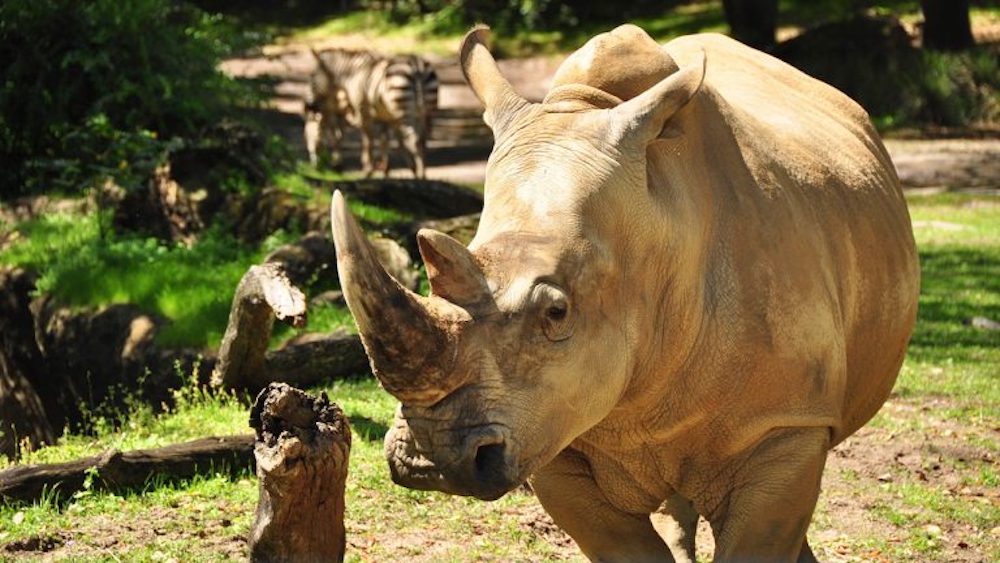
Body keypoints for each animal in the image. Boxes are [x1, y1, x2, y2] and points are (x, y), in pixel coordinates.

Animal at [308, 50, 438, 180]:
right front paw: (387, 170)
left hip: (405, 110)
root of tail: (417, 66)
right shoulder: (387, 117)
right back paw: (422, 172)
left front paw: (368, 171)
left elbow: (368, 141)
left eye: (312, 77)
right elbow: (385, 141)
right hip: (426, 112)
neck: (352, 74)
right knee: (423, 140)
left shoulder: (362, 111)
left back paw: (421, 175)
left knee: (414, 140)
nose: (310, 106)